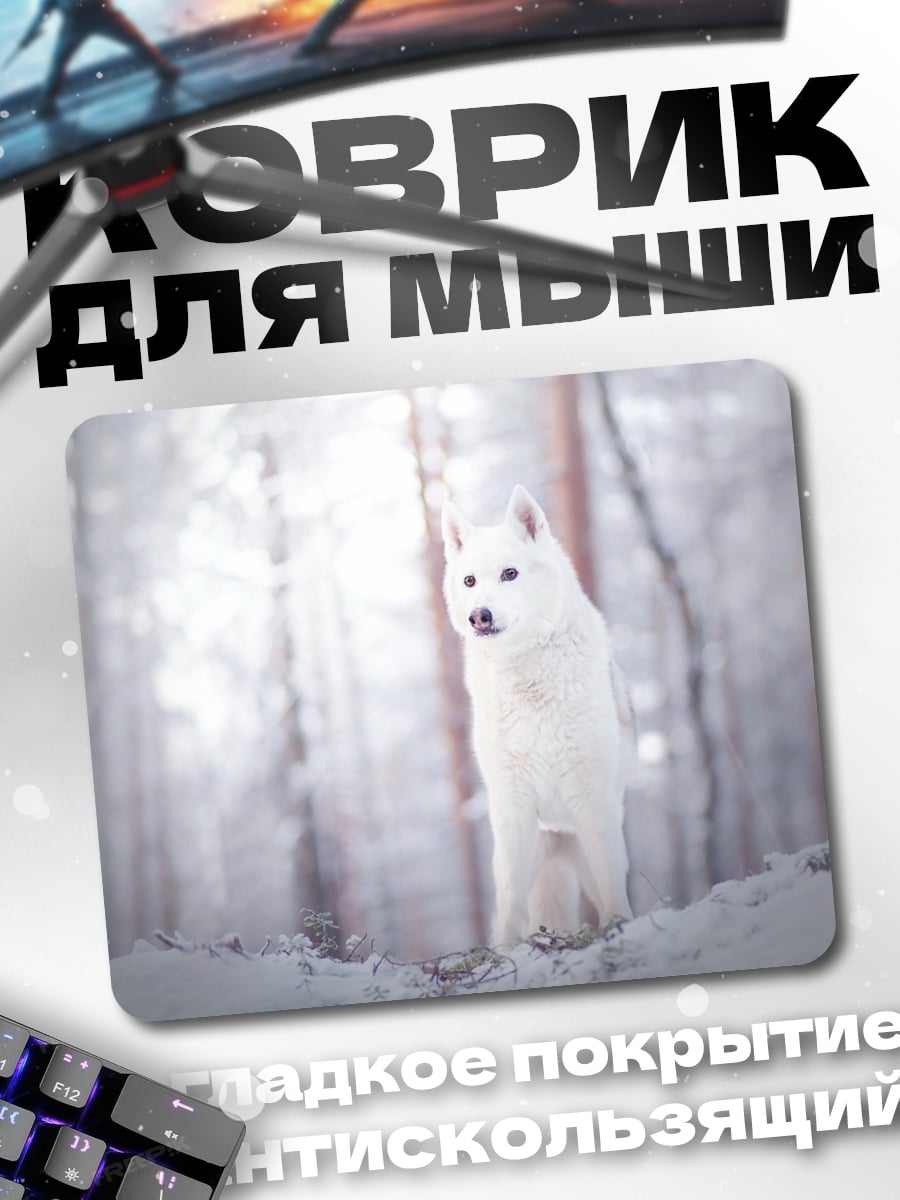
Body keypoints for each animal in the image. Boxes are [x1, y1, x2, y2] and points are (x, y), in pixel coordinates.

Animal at [442, 484, 634, 947]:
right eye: (469, 581)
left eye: (510, 574)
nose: (479, 616)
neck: (529, 684)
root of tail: (558, 838)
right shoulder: (512, 810)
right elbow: (510, 899)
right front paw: (505, 951)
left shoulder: (592, 800)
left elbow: (611, 882)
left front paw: (619, 927)